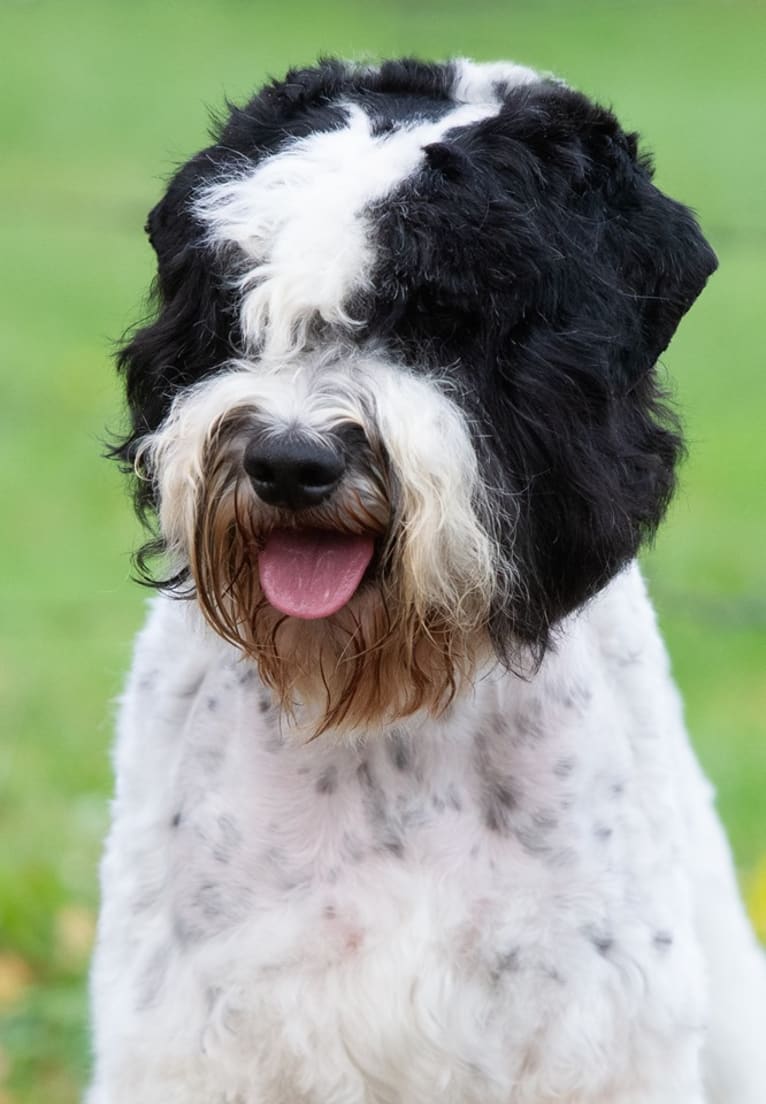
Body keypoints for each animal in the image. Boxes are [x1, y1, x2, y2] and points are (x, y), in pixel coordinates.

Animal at [88, 62, 766, 1104]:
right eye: (236, 302)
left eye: (443, 317)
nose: (290, 462)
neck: (392, 718)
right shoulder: (195, 1037)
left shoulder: (591, 1035)